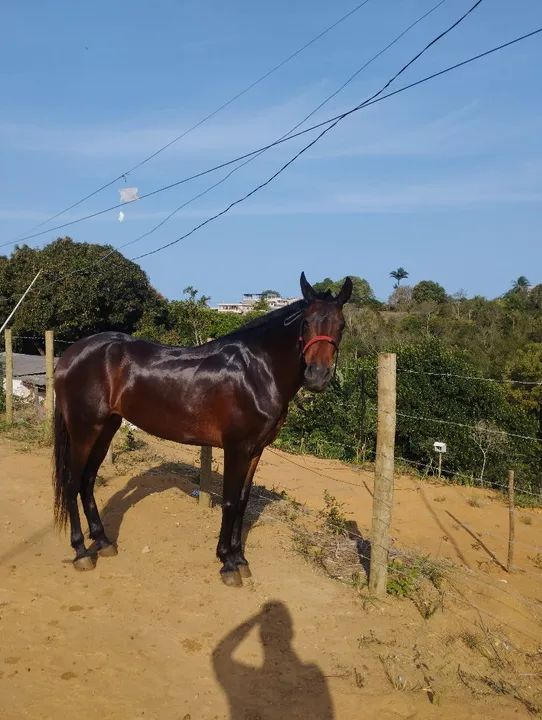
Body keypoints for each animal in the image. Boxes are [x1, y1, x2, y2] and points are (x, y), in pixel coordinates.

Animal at [52, 272, 352, 586]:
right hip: (84, 429)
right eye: (306, 322)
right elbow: (230, 501)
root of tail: (70, 355)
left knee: (87, 481)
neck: (256, 371)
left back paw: (102, 541)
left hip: (106, 428)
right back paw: (81, 552)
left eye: (341, 325)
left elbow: (243, 501)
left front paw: (240, 559)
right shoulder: (237, 448)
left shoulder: (256, 450)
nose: (317, 376)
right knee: (72, 483)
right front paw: (227, 563)